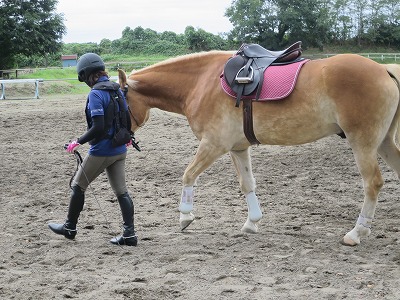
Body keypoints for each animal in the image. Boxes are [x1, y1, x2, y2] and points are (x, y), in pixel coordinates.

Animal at [118, 51, 400, 246]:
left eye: (117, 100)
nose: (121, 139)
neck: (201, 83)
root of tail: (384, 69)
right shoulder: (238, 148)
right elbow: (247, 184)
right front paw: (252, 223)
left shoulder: (214, 144)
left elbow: (188, 174)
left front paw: (185, 216)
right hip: (384, 142)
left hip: (362, 142)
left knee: (372, 183)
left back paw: (356, 232)